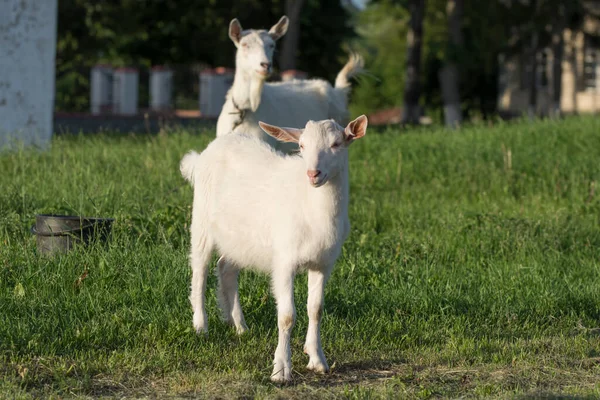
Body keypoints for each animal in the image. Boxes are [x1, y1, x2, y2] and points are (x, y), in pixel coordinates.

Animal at [178, 115, 368, 382]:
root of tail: (204, 154)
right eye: (301, 146)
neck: (312, 208)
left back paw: (240, 326)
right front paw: (281, 369)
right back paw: (200, 326)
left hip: (239, 238)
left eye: (336, 144)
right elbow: (287, 316)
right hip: (202, 221)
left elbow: (316, 310)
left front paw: (317, 360)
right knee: (200, 269)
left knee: (225, 267)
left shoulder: (323, 263)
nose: (313, 173)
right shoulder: (284, 260)